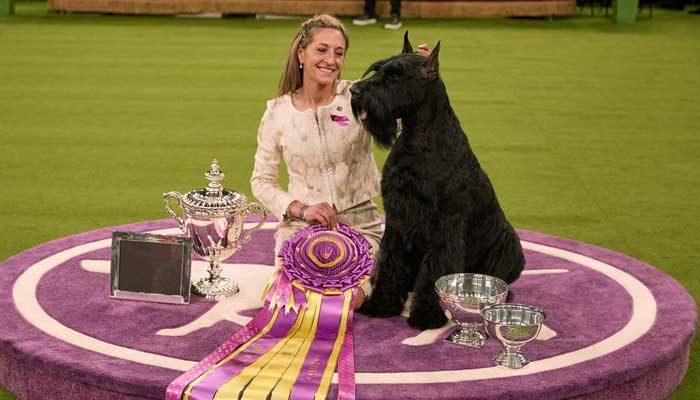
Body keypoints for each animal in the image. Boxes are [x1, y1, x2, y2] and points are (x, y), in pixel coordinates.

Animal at [352, 32, 524, 330]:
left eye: (395, 75)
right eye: (377, 68)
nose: (355, 91)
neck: (418, 140)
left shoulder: (446, 225)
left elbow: (436, 270)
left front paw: (427, 315)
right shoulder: (398, 218)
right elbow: (390, 263)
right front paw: (381, 304)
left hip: (510, 245)